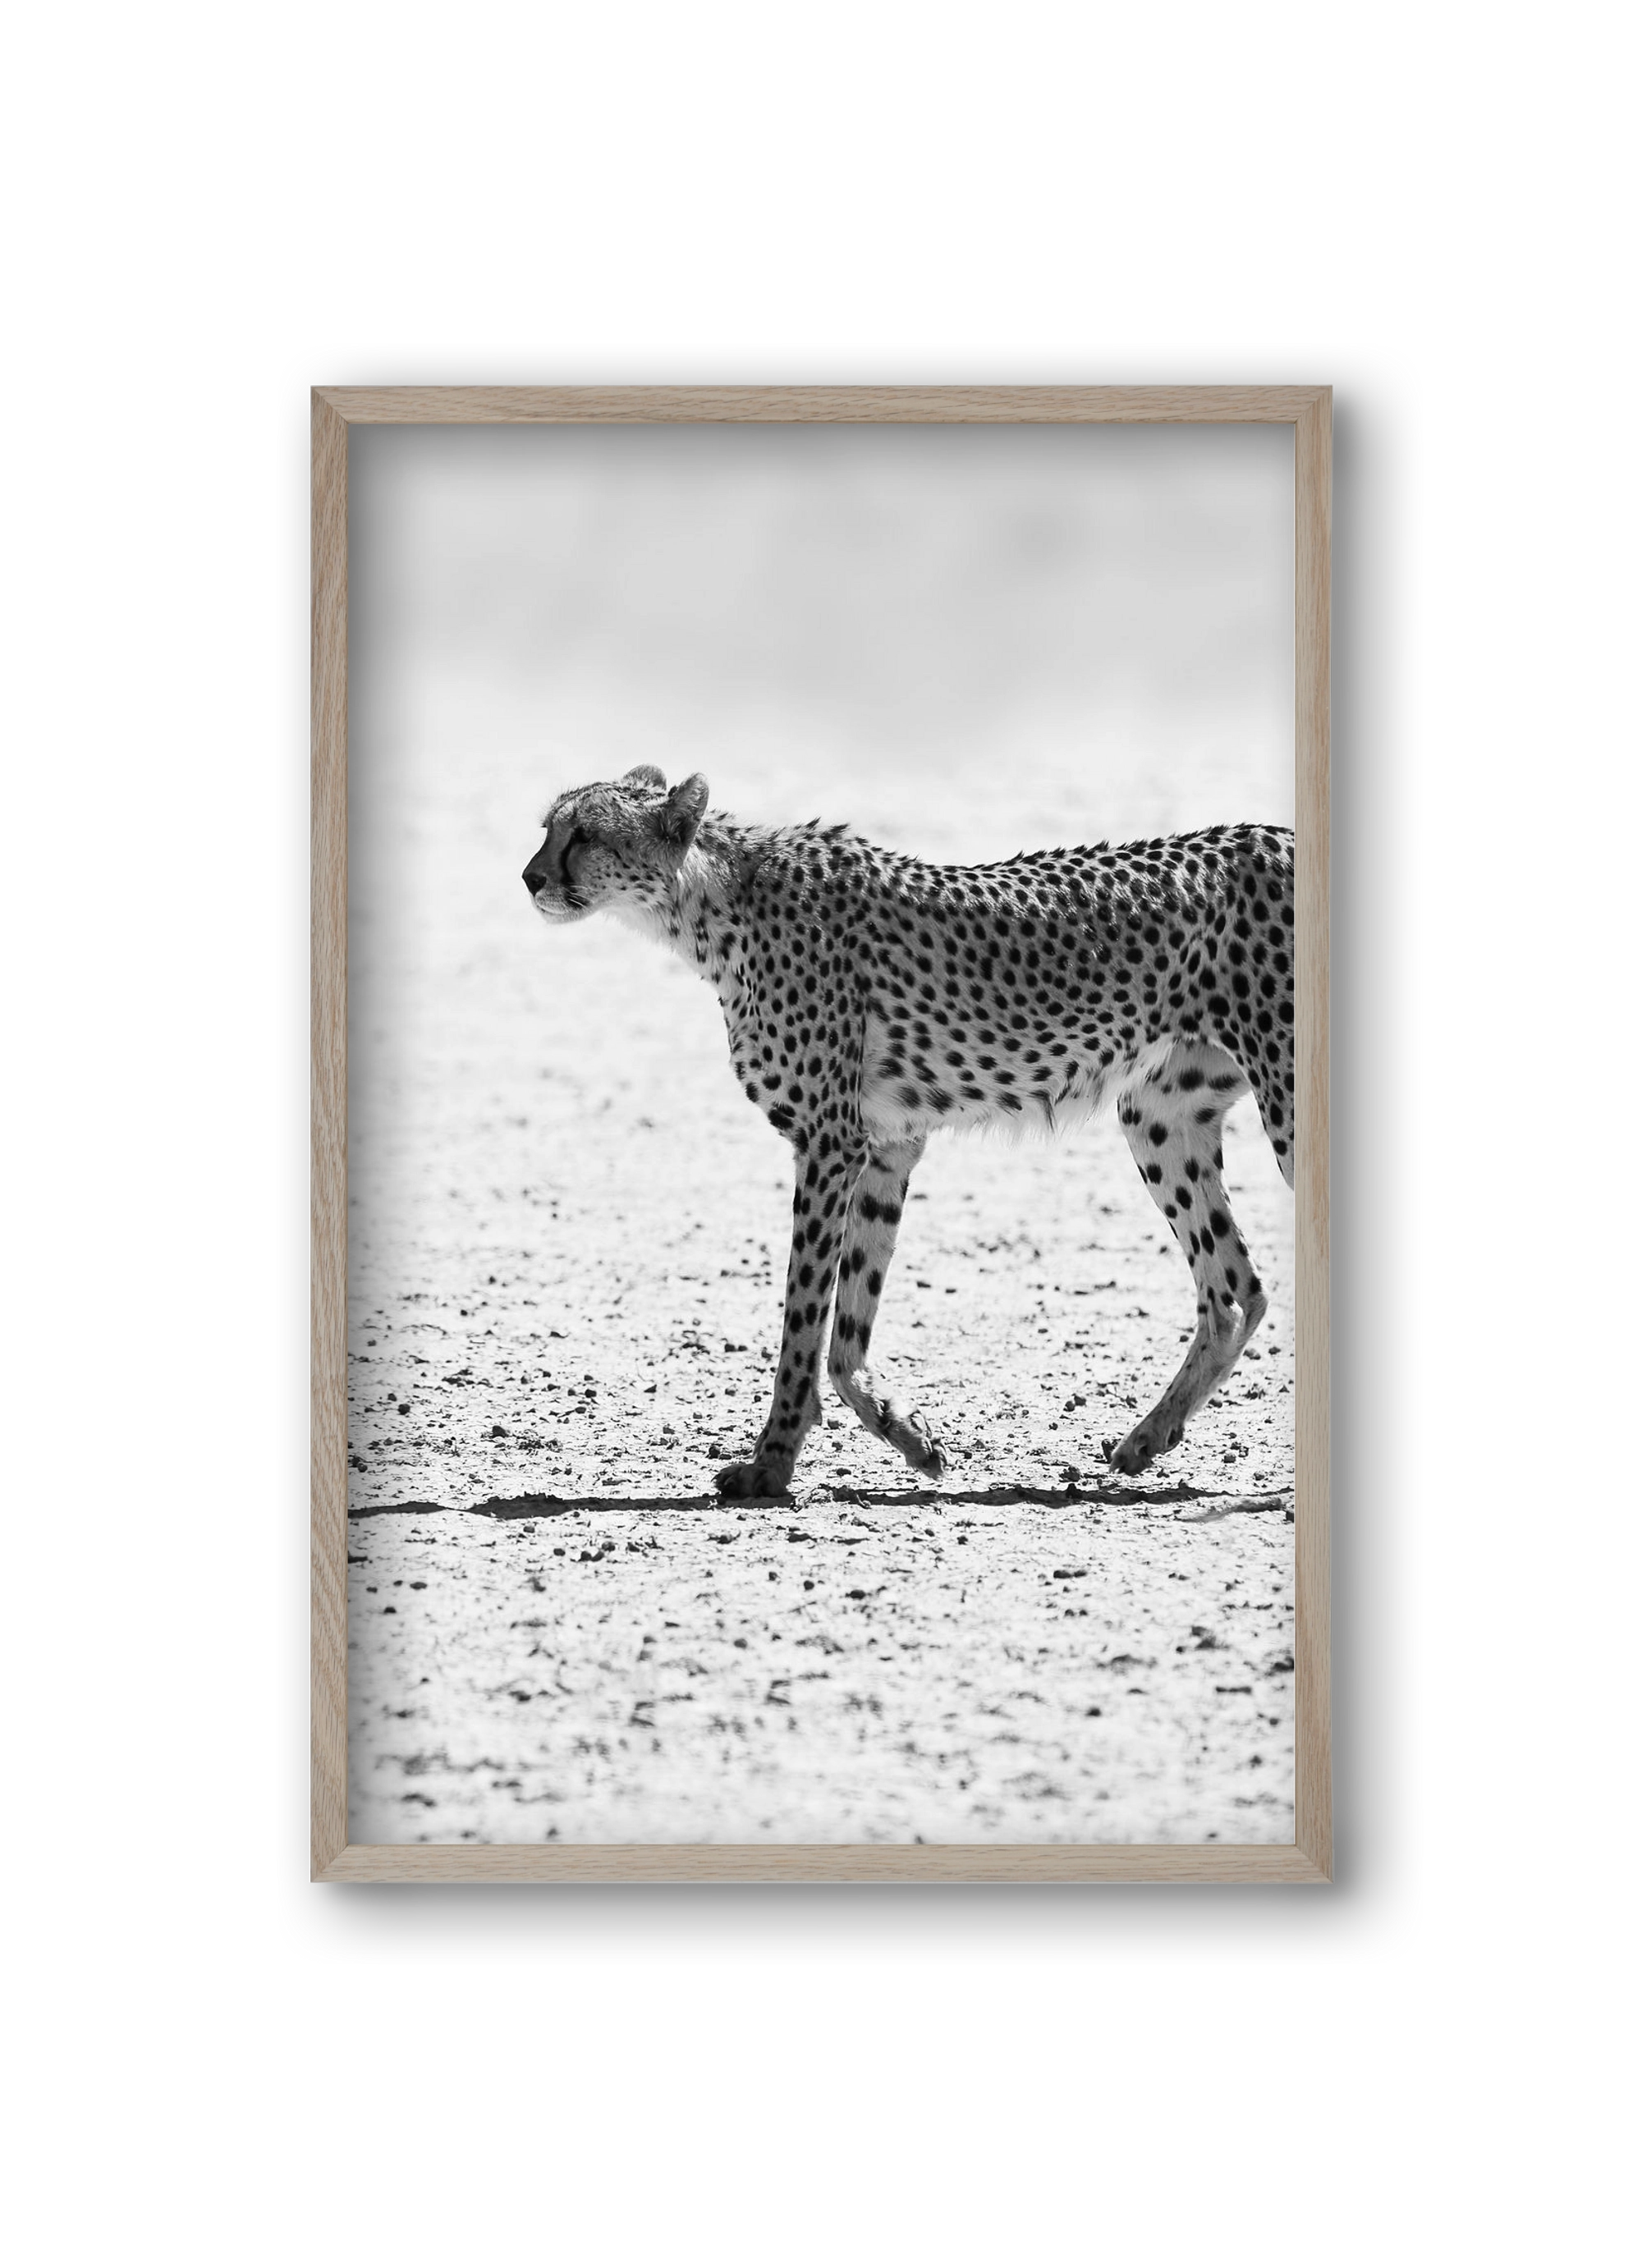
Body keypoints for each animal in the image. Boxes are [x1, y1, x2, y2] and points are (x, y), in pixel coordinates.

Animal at [523, 765, 1294, 1501]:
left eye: (585, 834)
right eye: (548, 827)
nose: (530, 877)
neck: (710, 903)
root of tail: (1275, 832)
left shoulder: (829, 1142)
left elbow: (803, 1318)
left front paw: (770, 1464)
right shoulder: (886, 1146)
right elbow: (846, 1330)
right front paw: (910, 1436)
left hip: (1281, 1101)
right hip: (1159, 1115)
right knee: (1234, 1290)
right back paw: (1147, 1438)